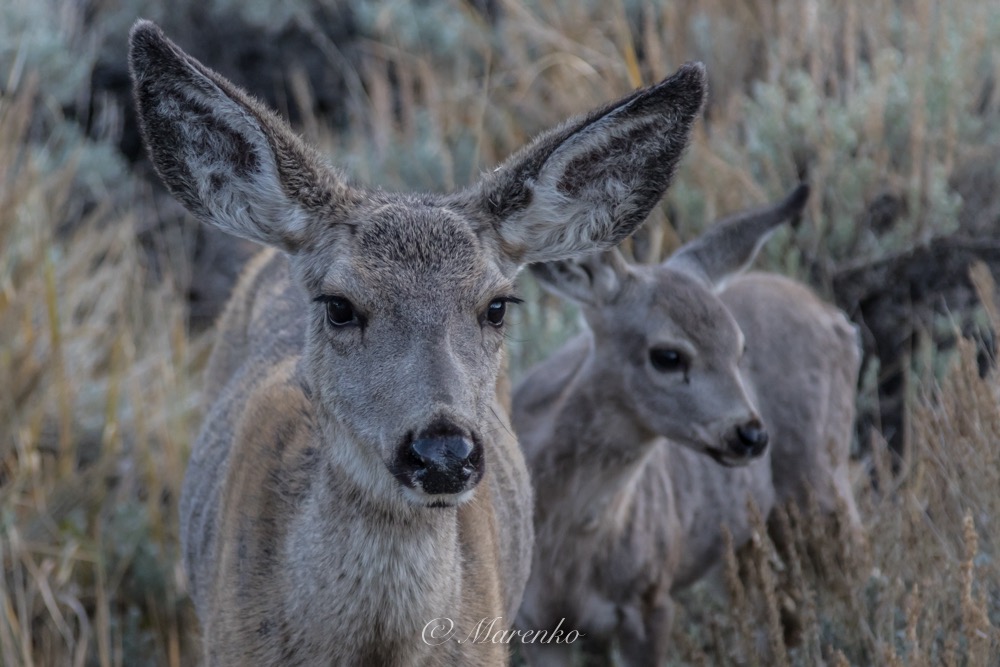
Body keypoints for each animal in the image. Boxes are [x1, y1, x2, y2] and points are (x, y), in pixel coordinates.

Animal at [512, 184, 864, 667]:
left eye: (739, 348)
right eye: (667, 355)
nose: (751, 435)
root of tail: (836, 317)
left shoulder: (651, 598)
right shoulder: (537, 623)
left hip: (820, 482)